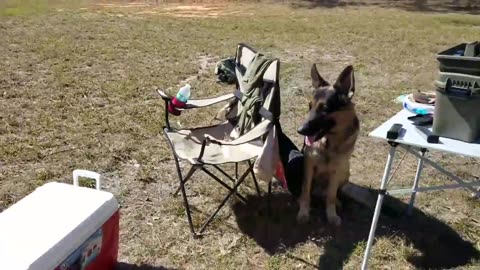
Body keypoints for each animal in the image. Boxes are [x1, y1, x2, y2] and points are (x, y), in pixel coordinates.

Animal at [296, 63, 360, 226]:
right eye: (310, 106)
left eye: (324, 109)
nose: (300, 130)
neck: (329, 142)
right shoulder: (308, 164)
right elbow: (305, 191)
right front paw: (303, 212)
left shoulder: (337, 170)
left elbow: (331, 195)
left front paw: (331, 215)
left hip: (345, 171)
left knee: (331, 193)